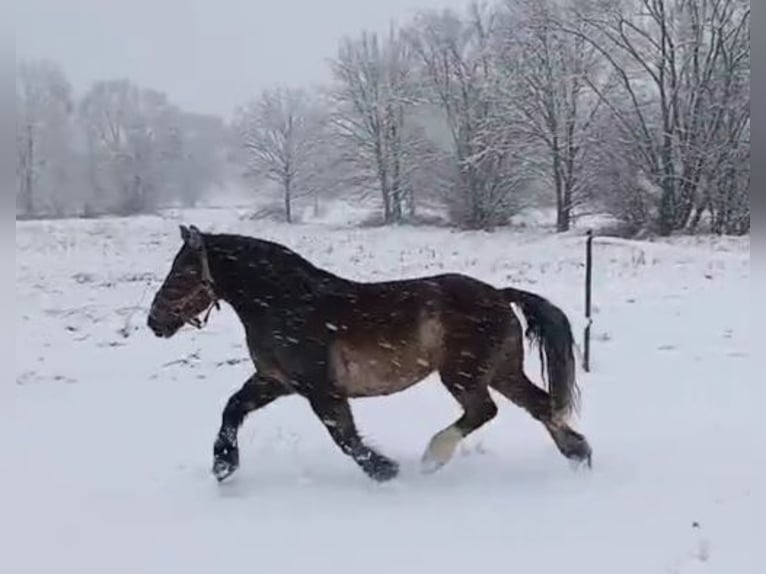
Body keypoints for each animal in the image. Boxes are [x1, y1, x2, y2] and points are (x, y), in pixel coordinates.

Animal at [147, 224, 592, 483]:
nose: (154, 321)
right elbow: (232, 408)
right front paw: (224, 465)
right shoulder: (274, 381)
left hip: (463, 375)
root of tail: (500, 294)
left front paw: (384, 471)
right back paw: (578, 455)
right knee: (540, 405)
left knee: (485, 410)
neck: (284, 304)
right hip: (501, 371)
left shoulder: (321, 389)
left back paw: (432, 457)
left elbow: (343, 435)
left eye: (183, 272)